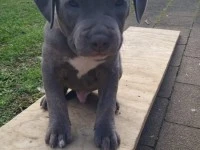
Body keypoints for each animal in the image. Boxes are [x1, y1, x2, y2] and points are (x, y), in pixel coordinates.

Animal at [34, 0, 147, 149]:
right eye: (72, 4)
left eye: (119, 2)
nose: (100, 39)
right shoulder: (50, 68)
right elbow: (56, 100)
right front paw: (58, 131)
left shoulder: (111, 71)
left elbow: (107, 103)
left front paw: (106, 134)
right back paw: (46, 100)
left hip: (120, 68)